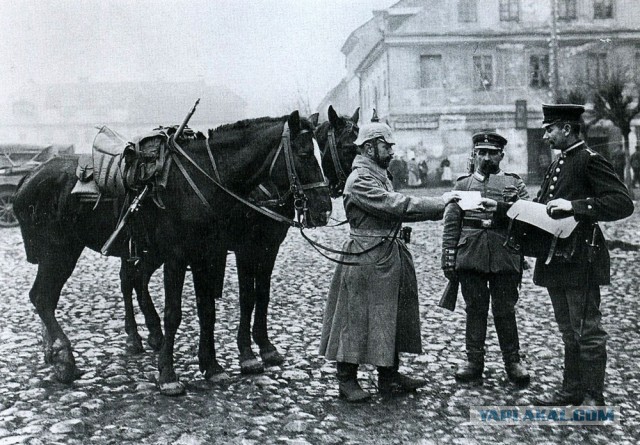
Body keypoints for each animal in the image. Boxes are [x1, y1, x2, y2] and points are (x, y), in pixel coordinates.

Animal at [14, 111, 330, 396]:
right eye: (304, 153)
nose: (324, 208)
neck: (205, 180)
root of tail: (31, 176)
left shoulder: (208, 255)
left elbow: (209, 309)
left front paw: (212, 366)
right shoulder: (184, 257)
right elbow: (176, 313)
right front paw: (168, 374)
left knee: (115, 284)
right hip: (60, 252)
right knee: (43, 297)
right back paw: (65, 358)